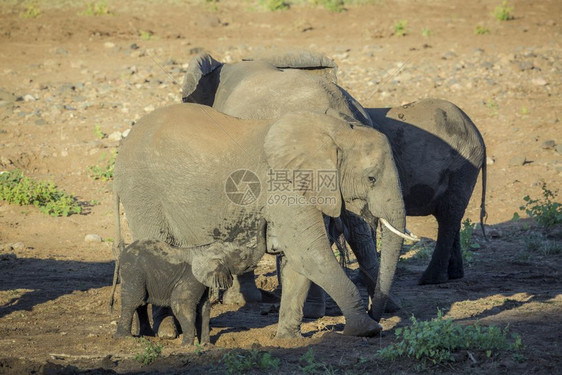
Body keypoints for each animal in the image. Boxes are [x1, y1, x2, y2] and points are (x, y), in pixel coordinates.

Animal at [111, 226, 266, 346]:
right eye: (244, 258)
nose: (265, 220)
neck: (207, 248)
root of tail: (122, 253)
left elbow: (204, 308)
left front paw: (205, 345)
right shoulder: (191, 278)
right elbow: (181, 304)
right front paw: (187, 346)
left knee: (141, 303)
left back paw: (147, 336)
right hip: (133, 272)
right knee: (133, 300)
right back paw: (124, 338)